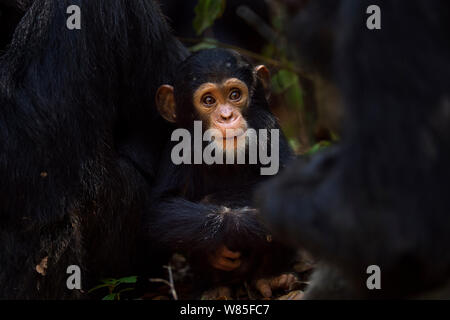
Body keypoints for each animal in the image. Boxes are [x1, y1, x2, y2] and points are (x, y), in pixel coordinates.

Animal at [150, 48, 298, 298]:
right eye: (209, 100)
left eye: (235, 95)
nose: (227, 116)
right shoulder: (177, 145)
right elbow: (163, 207)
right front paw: (247, 223)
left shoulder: (267, 126)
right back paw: (214, 289)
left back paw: (272, 277)